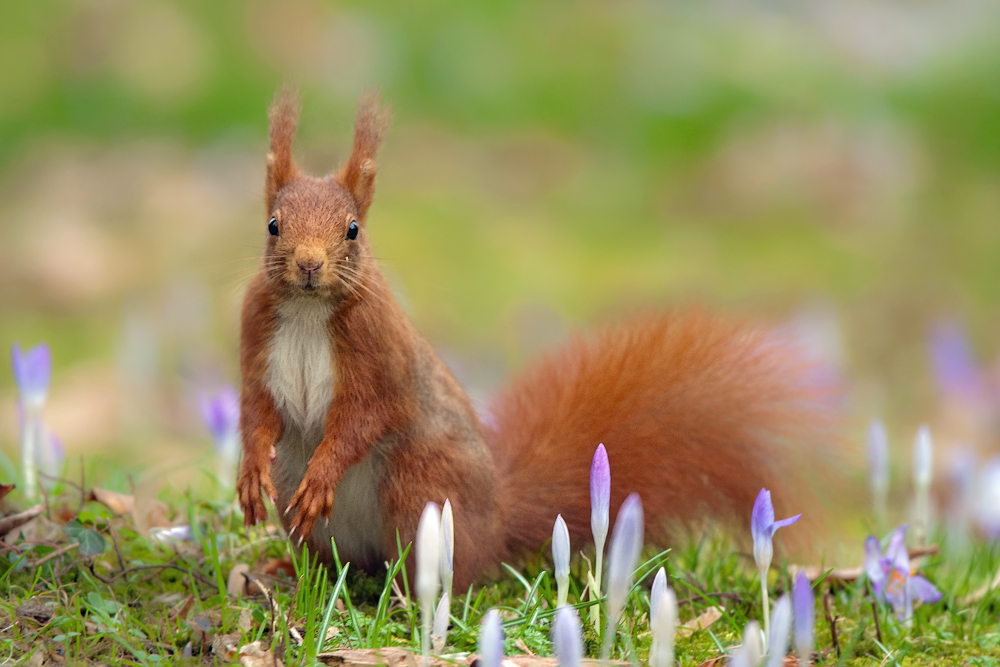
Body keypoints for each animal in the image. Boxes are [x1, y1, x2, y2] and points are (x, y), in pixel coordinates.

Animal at [236, 87, 844, 588]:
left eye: (353, 230)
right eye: (272, 224)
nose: (309, 264)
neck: (309, 308)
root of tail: (498, 520)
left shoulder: (379, 352)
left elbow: (363, 417)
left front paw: (324, 473)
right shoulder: (256, 336)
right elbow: (257, 411)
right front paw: (248, 474)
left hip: (422, 486)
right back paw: (295, 568)